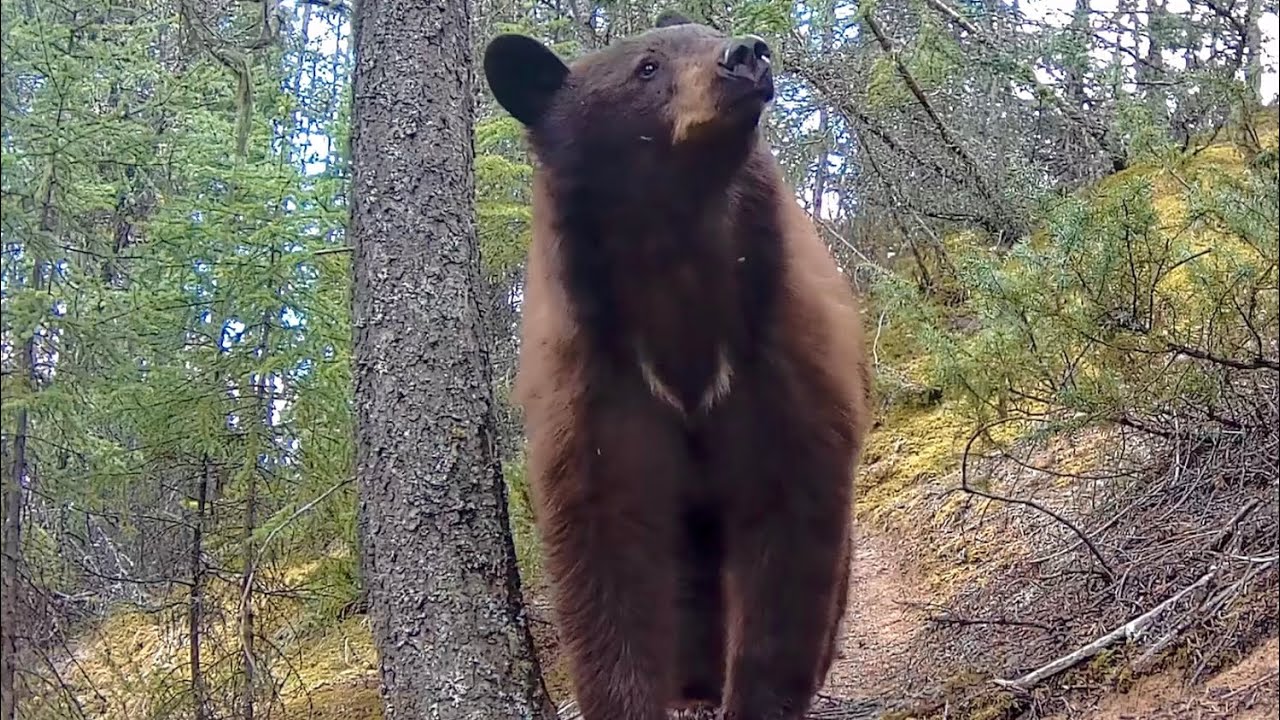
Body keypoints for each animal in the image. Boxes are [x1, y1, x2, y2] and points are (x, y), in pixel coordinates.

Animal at [483, 12, 872, 720]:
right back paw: (693, 684)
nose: (747, 54)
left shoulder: (775, 357)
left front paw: (762, 697)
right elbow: (605, 551)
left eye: (709, 30)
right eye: (647, 67)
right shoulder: (598, 386)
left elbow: (787, 538)